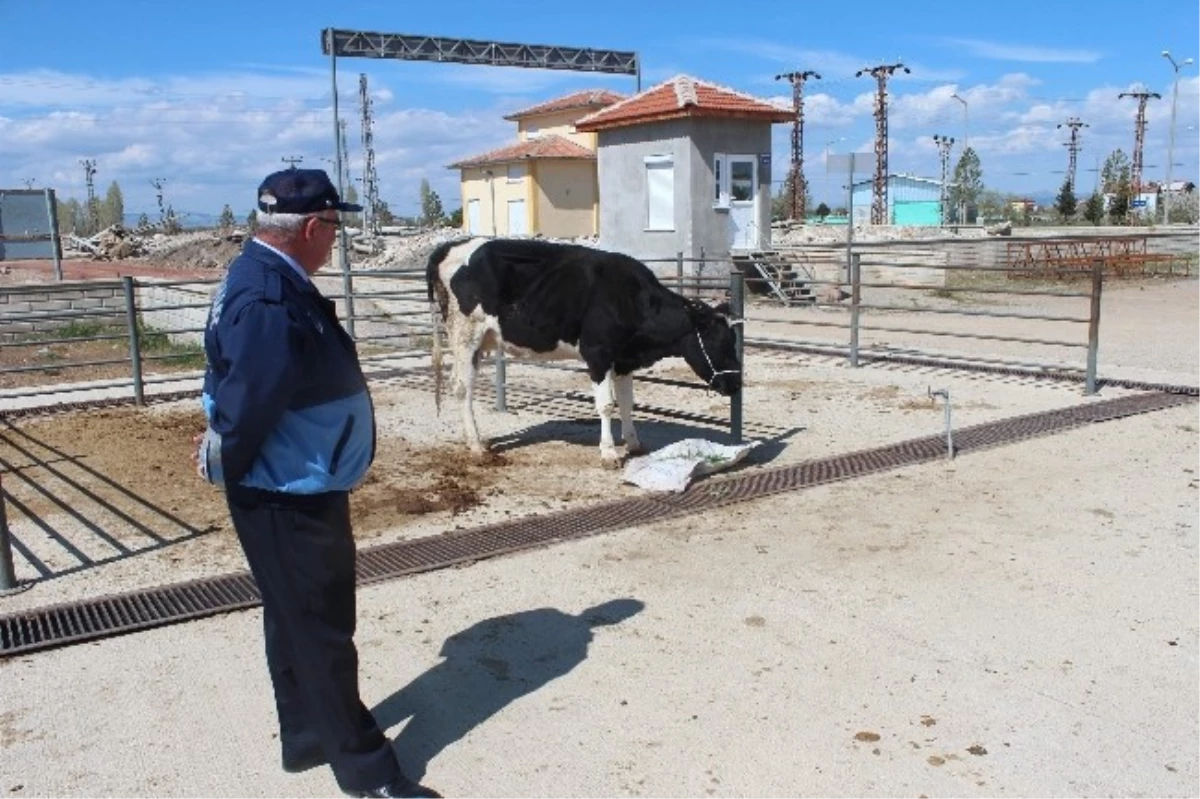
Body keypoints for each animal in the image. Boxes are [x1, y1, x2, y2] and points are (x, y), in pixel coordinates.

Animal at [422, 233, 739, 463]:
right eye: (719, 343)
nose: (735, 384)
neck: (630, 298)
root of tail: (452, 245)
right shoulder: (598, 354)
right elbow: (606, 404)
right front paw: (609, 453)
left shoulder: (624, 359)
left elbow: (626, 403)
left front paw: (634, 444)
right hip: (465, 333)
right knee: (461, 386)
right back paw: (476, 446)